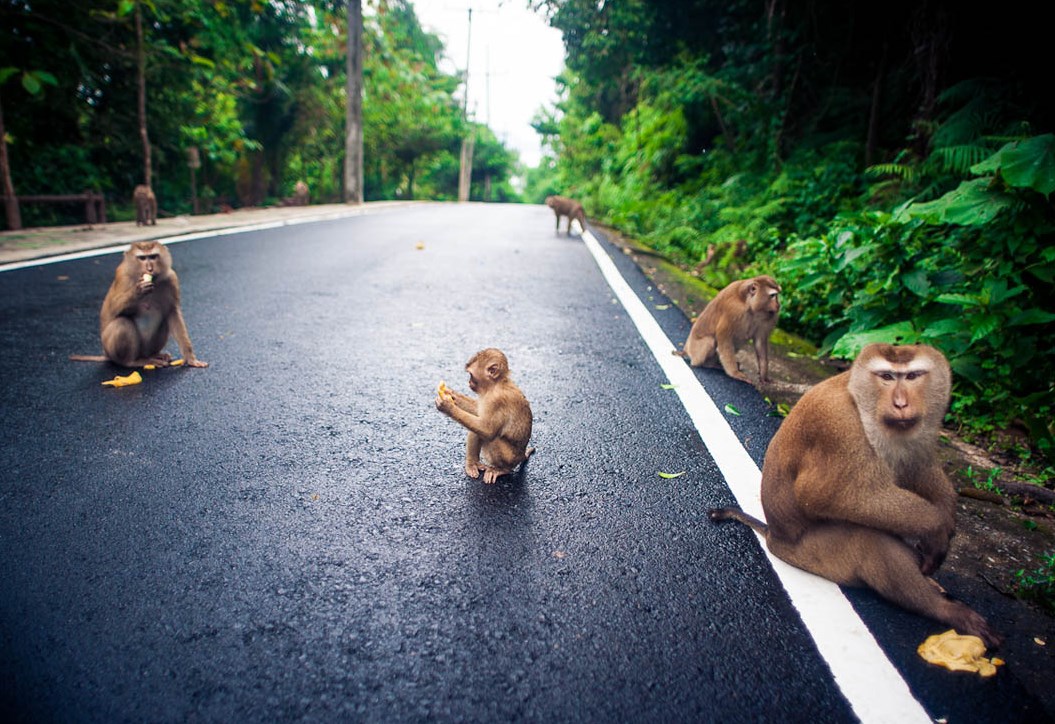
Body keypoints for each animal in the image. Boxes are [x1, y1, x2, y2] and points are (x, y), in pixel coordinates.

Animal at [69, 242, 207, 369]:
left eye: (153, 256)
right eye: (142, 258)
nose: (149, 269)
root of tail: (106, 354)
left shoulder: (172, 278)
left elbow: (172, 313)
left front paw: (189, 357)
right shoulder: (122, 276)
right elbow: (112, 310)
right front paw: (138, 291)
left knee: (163, 322)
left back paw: (154, 355)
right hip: (111, 350)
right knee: (122, 323)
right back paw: (132, 361)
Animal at [434, 348, 535, 485]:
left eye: (471, 375)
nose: (469, 382)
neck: (495, 385)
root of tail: (521, 455)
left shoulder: (496, 401)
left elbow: (487, 430)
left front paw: (447, 407)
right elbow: (478, 412)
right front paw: (452, 394)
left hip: (511, 458)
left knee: (491, 438)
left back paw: (502, 469)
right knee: (475, 430)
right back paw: (473, 464)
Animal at [708, 344, 995, 650]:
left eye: (913, 376)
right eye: (887, 376)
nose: (901, 404)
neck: (862, 400)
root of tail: (774, 535)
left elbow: (919, 467)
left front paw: (946, 523)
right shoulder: (839, 427)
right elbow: (826, 495)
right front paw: (937, 528)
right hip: (813, 553)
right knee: (869, 539)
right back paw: (943, 609)